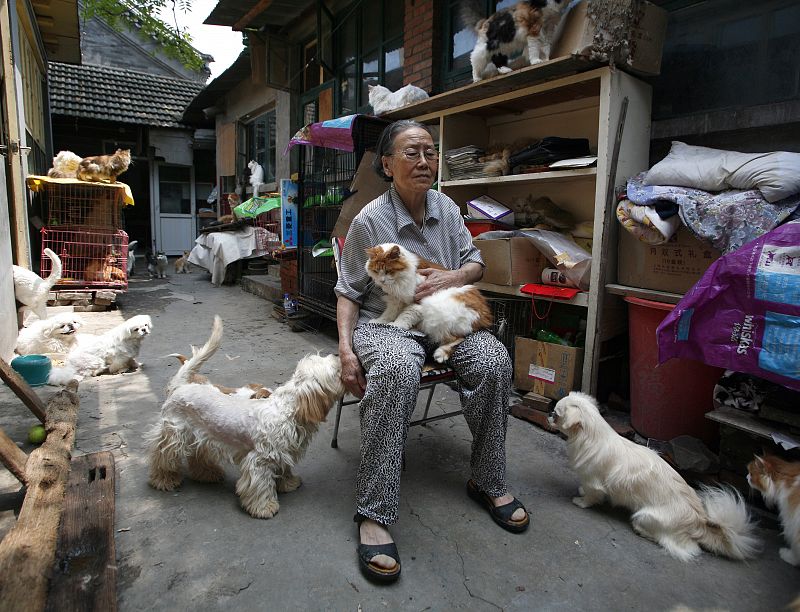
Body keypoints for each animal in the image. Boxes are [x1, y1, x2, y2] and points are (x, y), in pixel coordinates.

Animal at [146, 318, 344, 520]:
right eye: (336, 370)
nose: (338, 354)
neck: (289, 410)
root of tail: (180, 386)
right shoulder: (260, 460)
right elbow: (261, 486)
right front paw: (264, 507)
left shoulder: (283, 453)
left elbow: (284, 470)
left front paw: (288, 483)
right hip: (173, 436)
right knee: (162, 458)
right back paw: (164, 480)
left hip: (201, 437)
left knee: (197, 457)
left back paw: (208, 474)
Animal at [548, 392, 760, 560]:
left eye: (557, 415)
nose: (549, 414)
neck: (589, 438)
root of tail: (699, 523)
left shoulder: (593, 481)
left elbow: (591, 495)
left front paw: (581, 501)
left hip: (644, 516)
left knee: (680, 545)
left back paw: (642, 531)